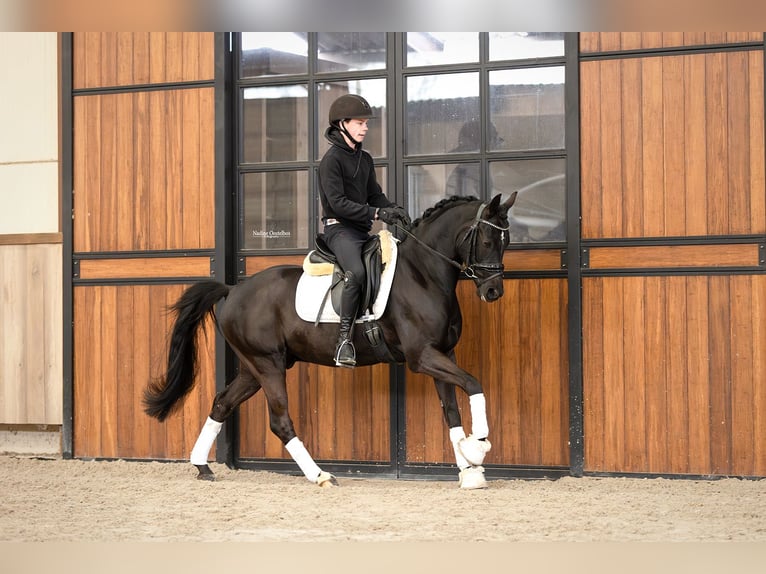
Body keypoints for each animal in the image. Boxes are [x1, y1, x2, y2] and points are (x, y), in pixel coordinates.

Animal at [143, 192, 517, 489]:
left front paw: (469, 470)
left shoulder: (443, 354)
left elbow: (452, 411)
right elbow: (474, 384)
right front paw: (479, 446)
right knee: (280, 421)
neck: (423, 274)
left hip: (253, 369)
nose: (493, 292)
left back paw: (202, 466)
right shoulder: (422, 356)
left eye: (507, 242)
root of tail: (233, 290)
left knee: (222, 403)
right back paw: (320, 475)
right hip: (268, 365)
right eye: (487, 240)